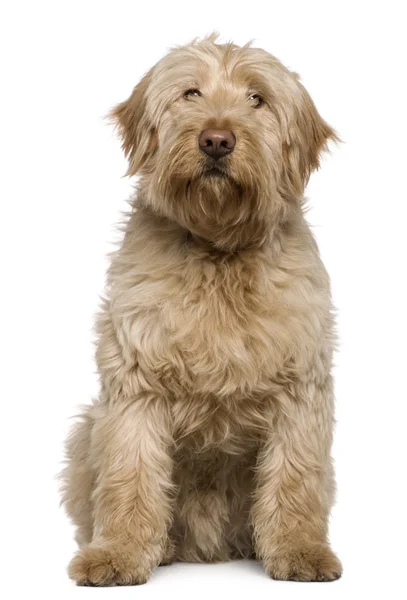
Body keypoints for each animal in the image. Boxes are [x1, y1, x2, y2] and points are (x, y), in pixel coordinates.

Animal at [59, 35, 342, 584]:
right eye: (190, 93)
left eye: (257, 99)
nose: (216, 140)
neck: (218, 250)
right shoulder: (136, 386)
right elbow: (129, 474)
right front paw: (119, 553)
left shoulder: (300, 388)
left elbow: (295, 476)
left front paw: (300, 550)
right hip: (86, 430)